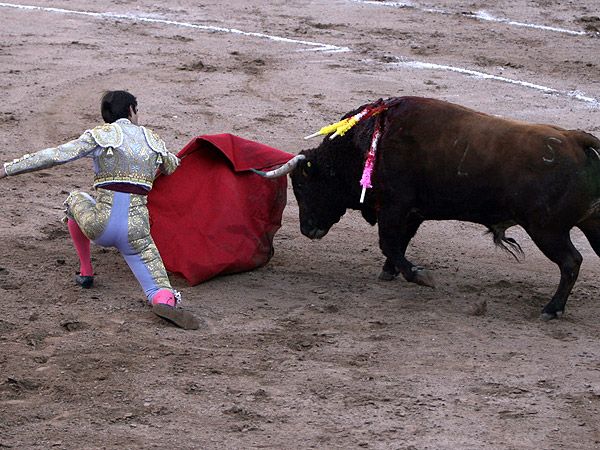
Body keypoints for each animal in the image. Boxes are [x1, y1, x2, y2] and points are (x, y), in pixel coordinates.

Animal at [253, 96, 600, 320]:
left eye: (301, 186)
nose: (307, 229)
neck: (369, 142)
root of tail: (576, 140)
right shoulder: (411, 212)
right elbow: (398, 243)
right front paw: (390, 271)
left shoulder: (396, 203)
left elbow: (389, 242)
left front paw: (418, 275)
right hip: (588, 223)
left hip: (547, 229)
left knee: (571, 262)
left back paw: (551, 309)